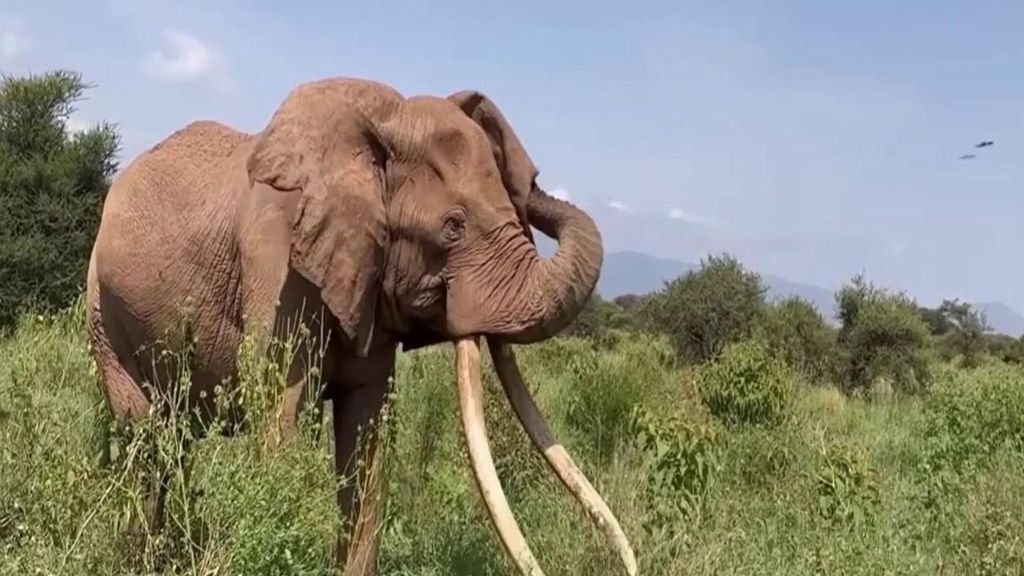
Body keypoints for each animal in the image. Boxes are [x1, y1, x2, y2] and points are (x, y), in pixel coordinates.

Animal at [85, 76, 636, 576]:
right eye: (452, 227)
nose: (533, 181)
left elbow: (367, 439)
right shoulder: (277, 262)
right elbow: (282, 419)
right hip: (102, 315)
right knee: (143, 438)